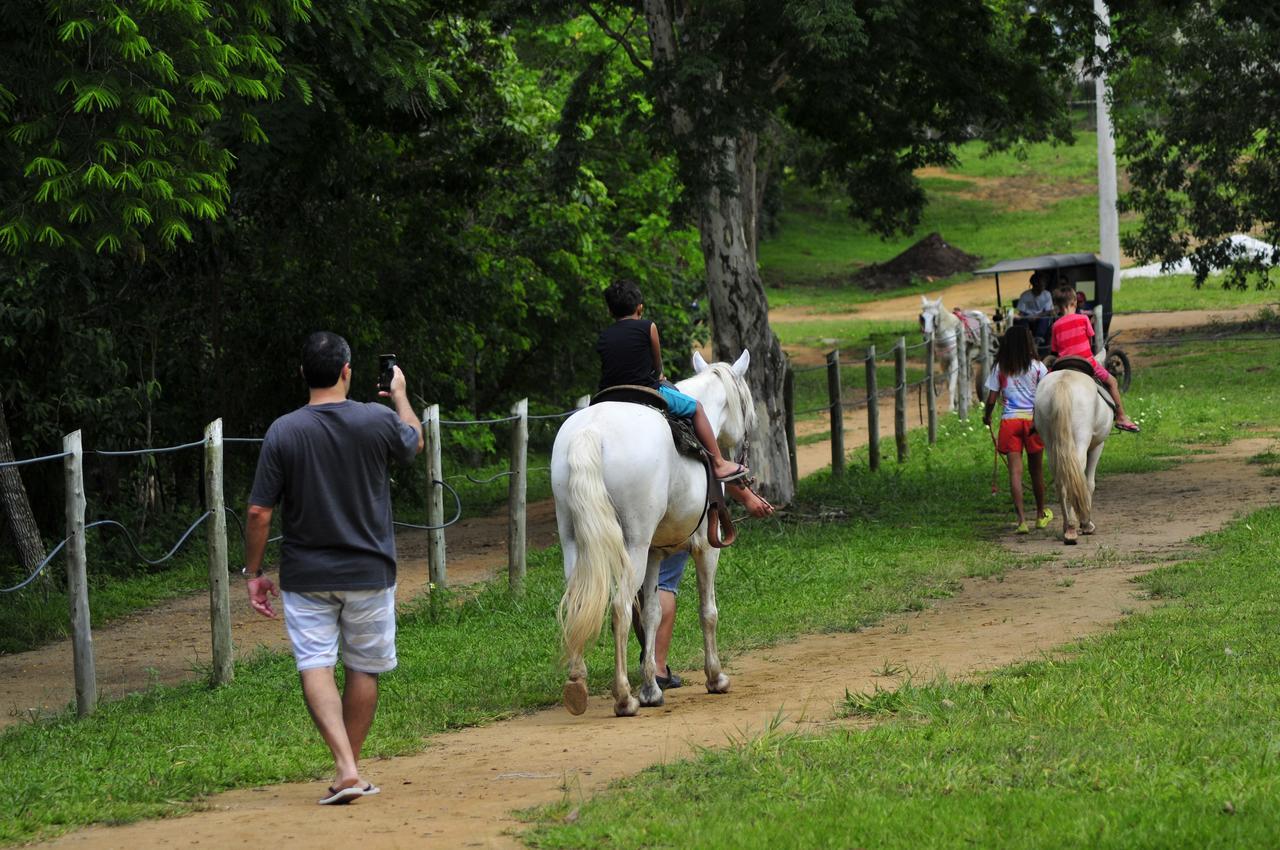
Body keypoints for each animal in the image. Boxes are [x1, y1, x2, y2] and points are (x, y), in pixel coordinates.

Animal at [547, 348, 747, 711]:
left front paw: (652, 688)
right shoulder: (706, 548)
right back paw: (624, 697)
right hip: (634, 546)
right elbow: (707, 611)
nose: (740, 454)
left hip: (574, 542)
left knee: (580, 602)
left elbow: (653, 613)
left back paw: (577, 685)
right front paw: (715, 677)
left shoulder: (655, 553)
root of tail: (591, 432)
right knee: (619, 608)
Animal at [1029, 371, 1111, 545]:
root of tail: (1064, 381)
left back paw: (1067, 526)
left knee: (1061, 482)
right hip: (1081, 440)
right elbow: (1089, 483)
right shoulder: (1097, 446)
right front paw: (1086, 523)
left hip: (1051, 444)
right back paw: (1075, 527)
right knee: (1075, 478)